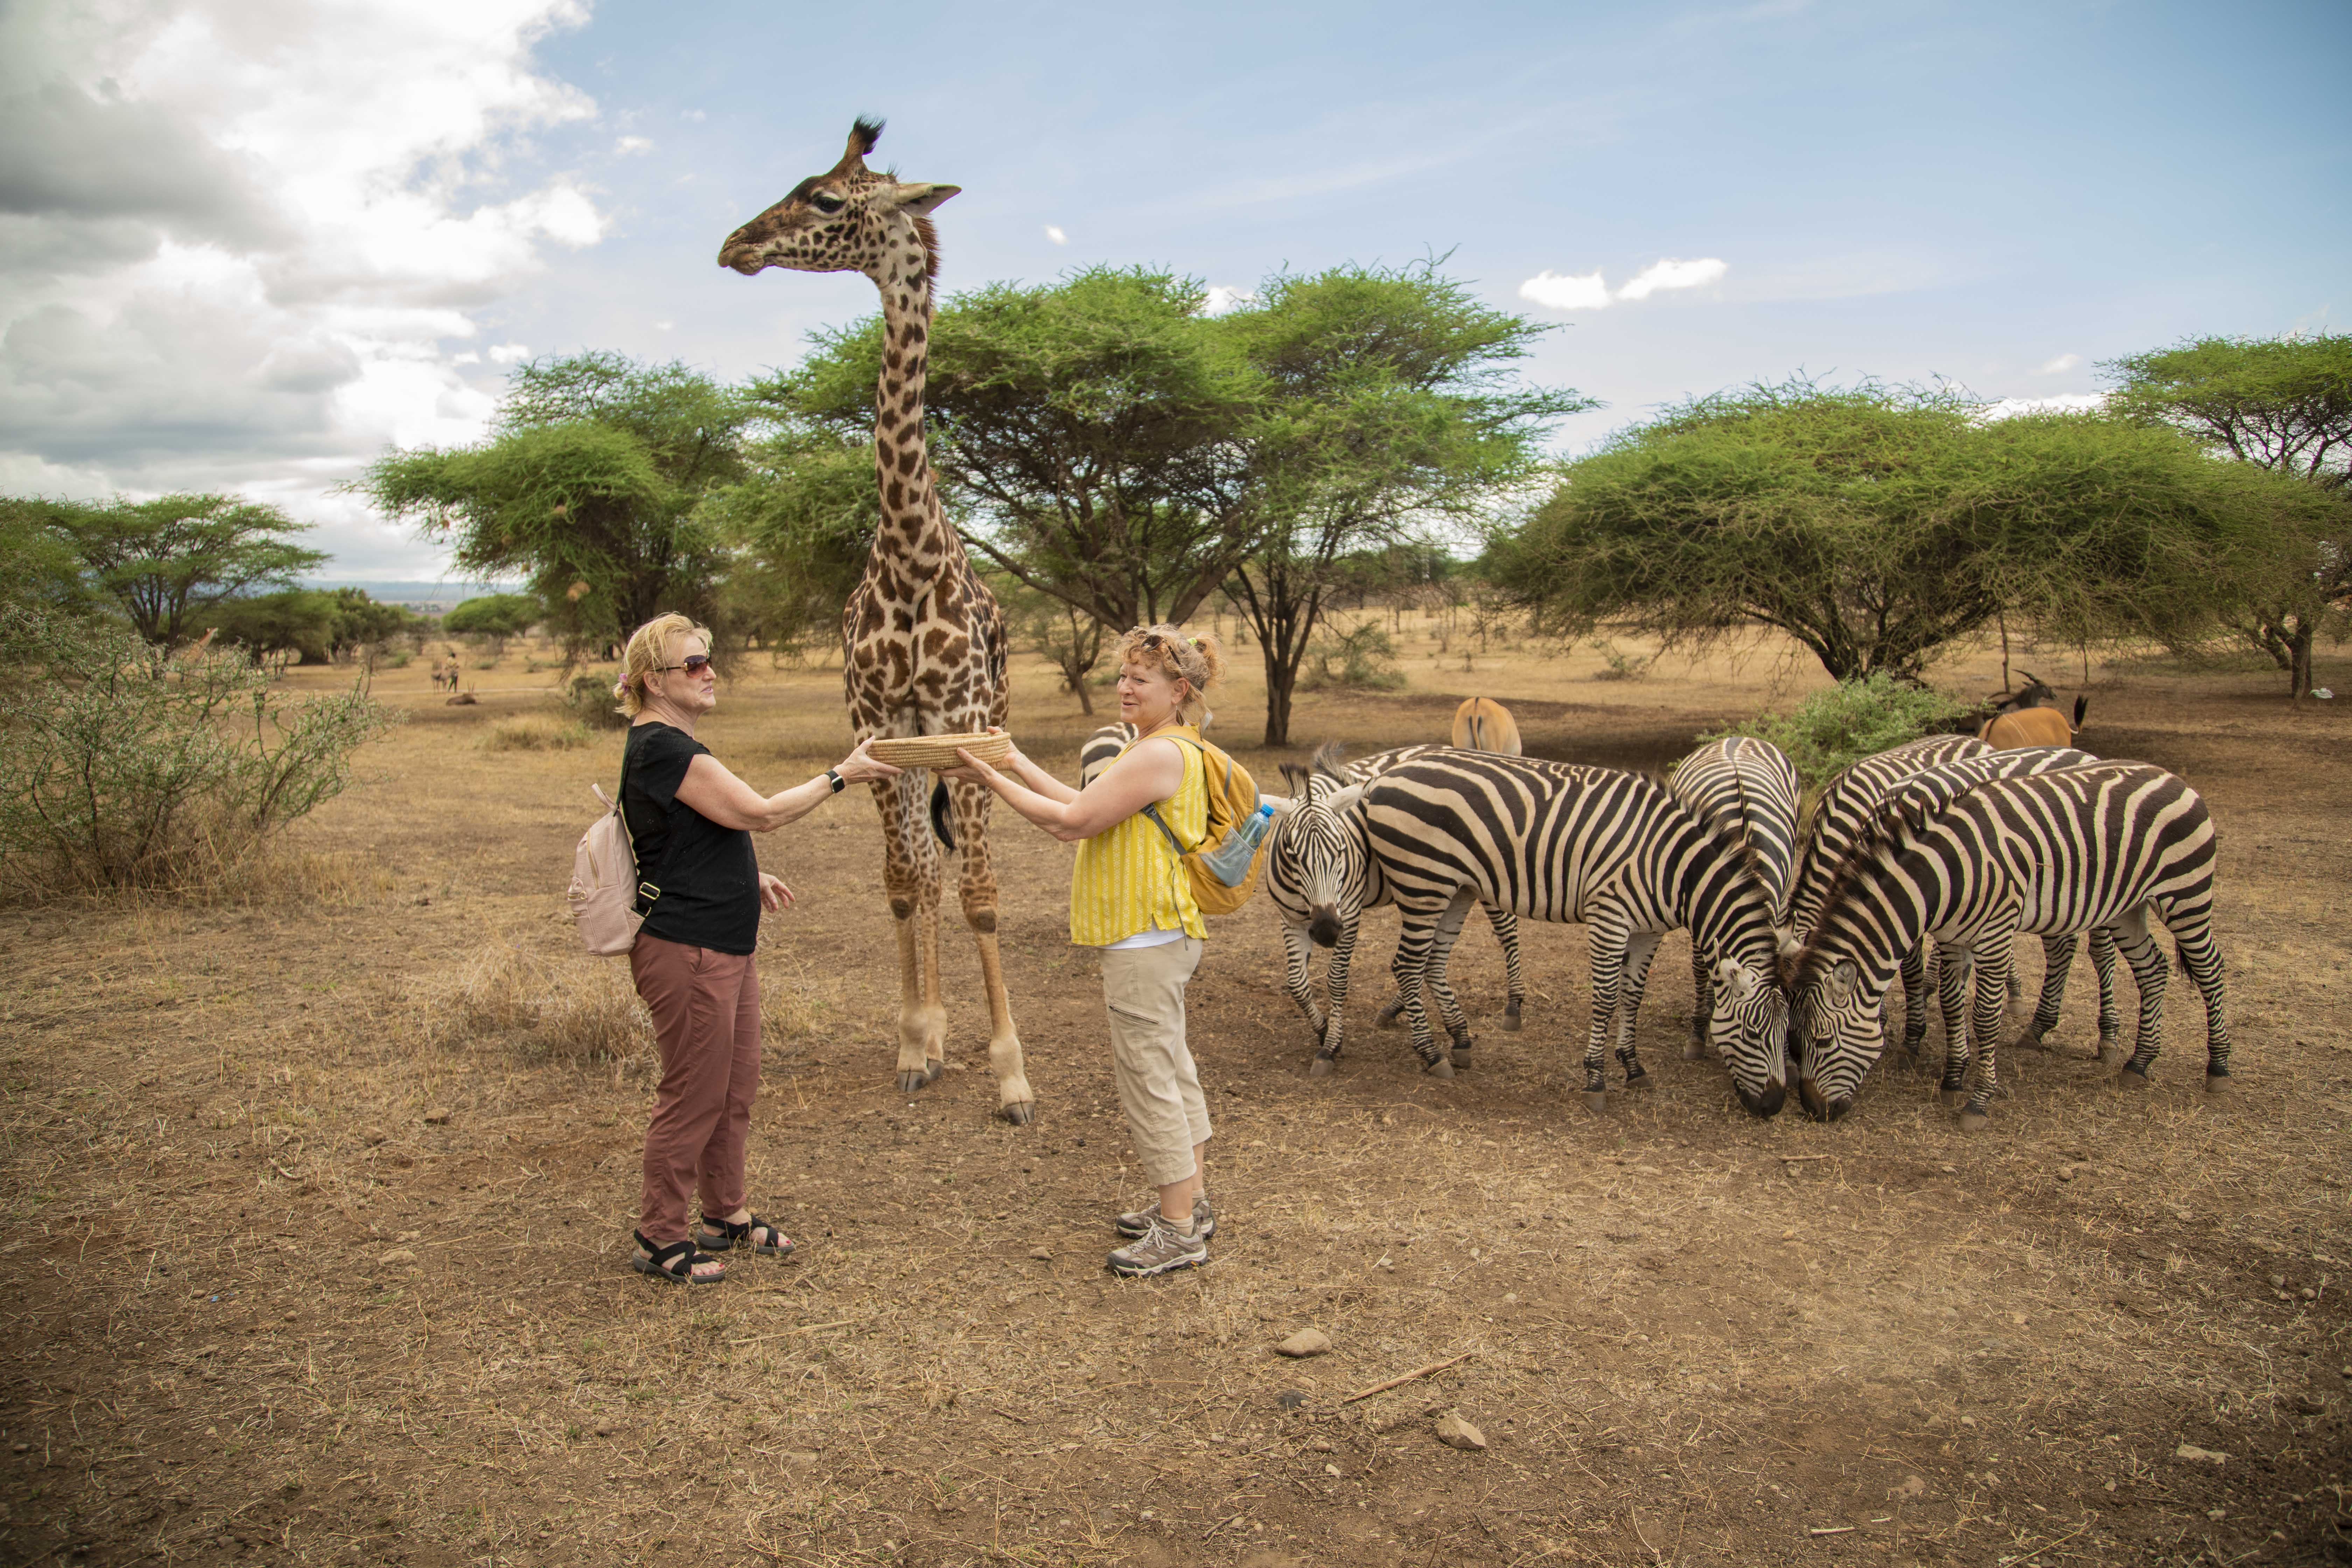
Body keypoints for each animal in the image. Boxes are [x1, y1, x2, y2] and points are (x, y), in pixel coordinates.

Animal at [718, 118, 1034, 1124]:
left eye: (824, 199)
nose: (735, 244)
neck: (908, 553)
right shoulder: (877, 723)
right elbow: (904, 884)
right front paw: (912, 1040)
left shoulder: (963, 724)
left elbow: (981, 892)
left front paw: (1012, 1075)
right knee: (923, 871)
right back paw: (931, 1038)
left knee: (956, 870)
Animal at [1262, 744, 1525, 1078]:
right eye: (1293, 854)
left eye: (1341, 851)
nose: (1326, 931)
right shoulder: (1291, 919)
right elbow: (1296, 983)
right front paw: (1322, 1029)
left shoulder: (1349, 913)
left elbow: (1337, 979)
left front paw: (1331, 1046)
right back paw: (1396, 1009)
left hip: (1484, 874)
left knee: (1507, 929)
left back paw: (1514, 1005)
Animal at [1360, 752, 1791, 1115]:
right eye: (1753, 1032)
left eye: (1787, 1033)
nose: (1774, 1106)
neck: (1674, 869)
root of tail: (1385, 775)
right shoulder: (1609, 915)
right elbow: (1606, 998)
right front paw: (1595, 1080)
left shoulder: (1650, 930)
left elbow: (1634, 996)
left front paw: (1633, 1067)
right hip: (1422, 882)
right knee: (1407, 966)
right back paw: (1432, 1055)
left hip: (1456, 889)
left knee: (1433, 962)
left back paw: (1461, 1041)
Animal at [1788, 761, 2234, 1127]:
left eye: (1822, 1041)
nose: (1813, 1110)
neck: (1945, 876)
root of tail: (2174, 778)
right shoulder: (1954, 937)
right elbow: (1951, 1004)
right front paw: (1953, 1077)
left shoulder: (1996, 933)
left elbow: (1985, 1016)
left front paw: (1978, 1101)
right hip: (2129, 905)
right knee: (2153, 969)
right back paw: (2139, 1062)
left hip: (2186, 892)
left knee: (2210, 970)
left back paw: (2218, 1067)